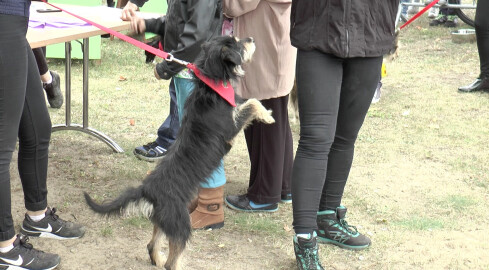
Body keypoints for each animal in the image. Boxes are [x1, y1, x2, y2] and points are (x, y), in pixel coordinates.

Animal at [84, 34, 274, 268]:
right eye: (238, 44)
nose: (251, 38)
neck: (211, 85)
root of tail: (148, 190)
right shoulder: (231, 130)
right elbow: (252, 102)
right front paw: (268, 115)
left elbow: (248, 102)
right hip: (181, 223)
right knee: (171, 261)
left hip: (164, 221)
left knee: (152, 245)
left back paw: (156, 259)